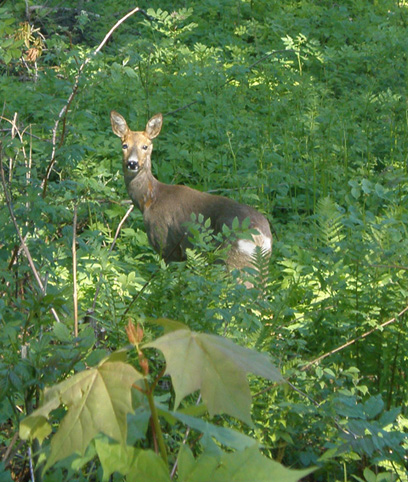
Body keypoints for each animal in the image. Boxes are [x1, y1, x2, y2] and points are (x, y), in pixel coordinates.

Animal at [110, 110, 272, 280]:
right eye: (124, 145)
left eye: (145, 146)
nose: (132, 163)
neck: (150, 200)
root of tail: (263, 237)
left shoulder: (166, 244)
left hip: (232, 258)